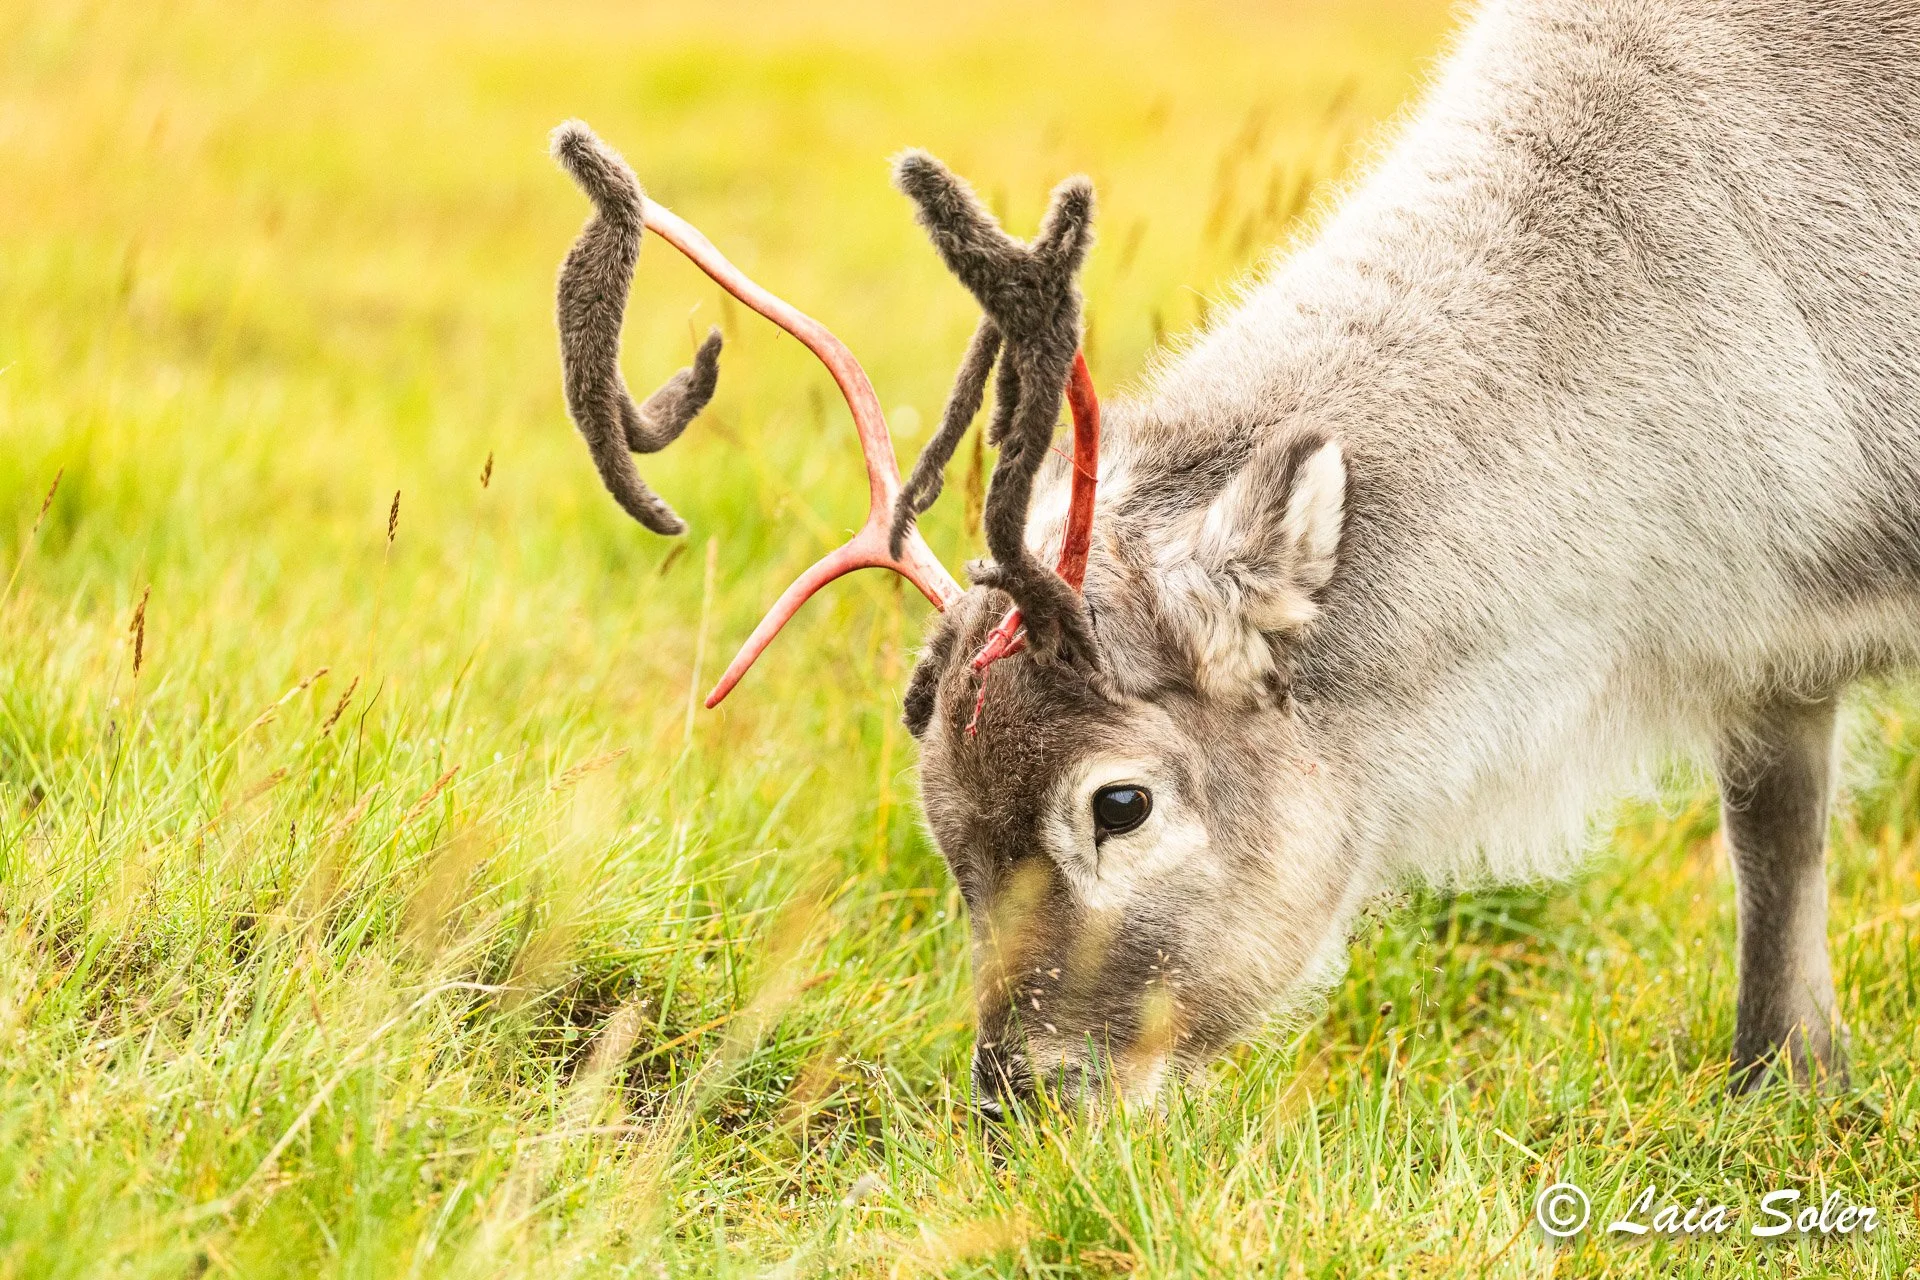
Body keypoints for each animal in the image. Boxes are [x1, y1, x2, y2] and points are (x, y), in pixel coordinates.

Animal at [547, 0, 1920, 1114]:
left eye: (1121, 802)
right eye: (944, 830)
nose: (1020, 1096)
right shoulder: (1773, 642)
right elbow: (1777, 837)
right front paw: (1787, 1080)